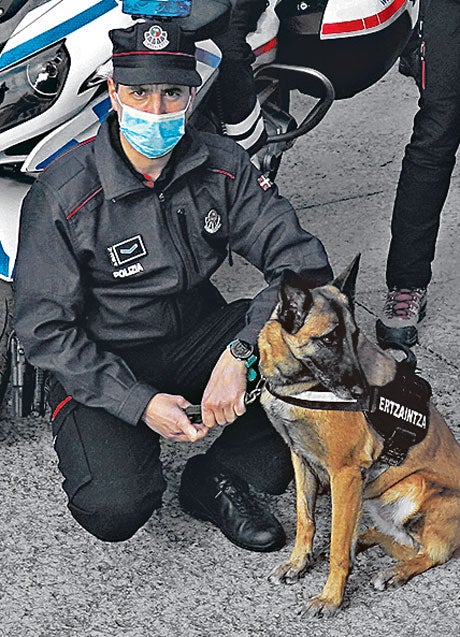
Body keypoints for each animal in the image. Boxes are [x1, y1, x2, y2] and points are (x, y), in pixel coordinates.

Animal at [256, 255, 460, 616]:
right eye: (328, 339)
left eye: (353, 335)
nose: (361, 392)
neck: (301, 386)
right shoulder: (302, 460)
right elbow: (305, 519)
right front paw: (298, 562)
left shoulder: (345, 472)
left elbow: (339, 545)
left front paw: (330, 598)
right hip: (371, 496)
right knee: (388, 535)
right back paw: (365, 543)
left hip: (413, 490)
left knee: (431, 552)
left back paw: (396, 571)